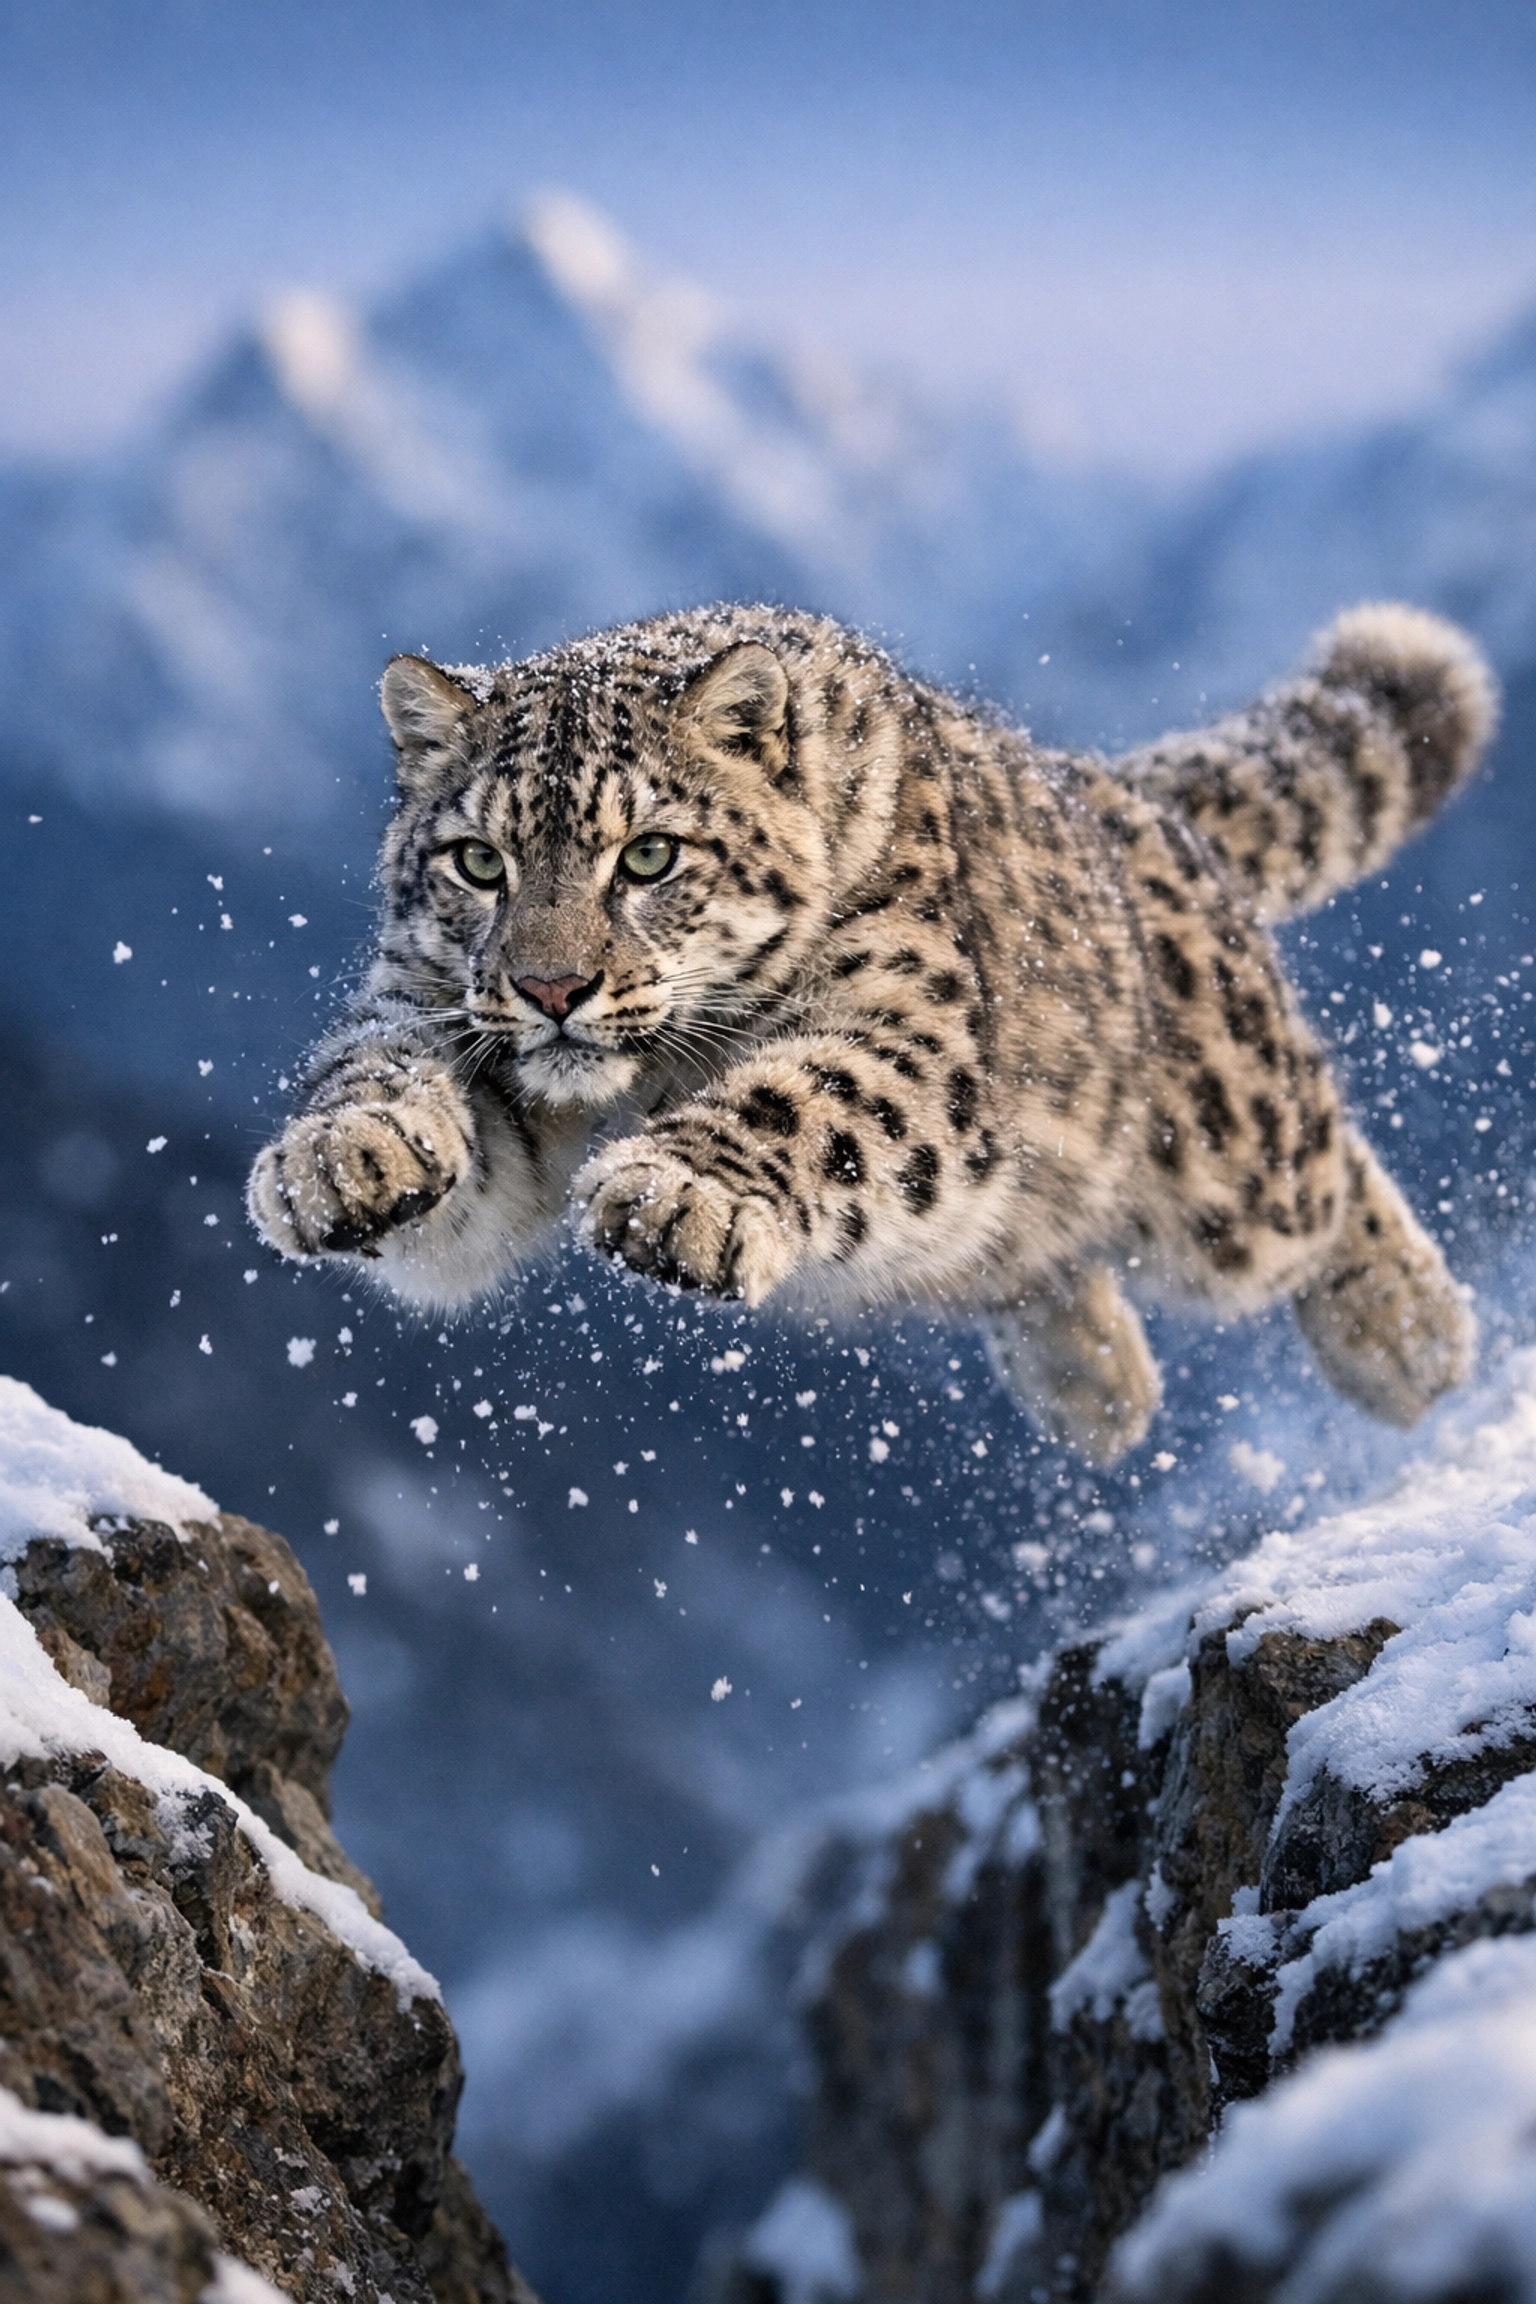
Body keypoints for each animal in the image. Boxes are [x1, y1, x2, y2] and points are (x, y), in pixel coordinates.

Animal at [247, 600, 1495, 1464]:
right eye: (478, 861)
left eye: (648, 855)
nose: (553, 989)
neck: (634, 1083)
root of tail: (1113, 792)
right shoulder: (430, 1008)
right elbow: (382, 1070)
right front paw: (336, 1162)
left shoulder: (906, 1030)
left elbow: (799, 1098)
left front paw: (672, 1198)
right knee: (1039, 1258)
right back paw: (1100, 1392)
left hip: (1231, 1167)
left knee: (1320, 1169)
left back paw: (1413, 1340)